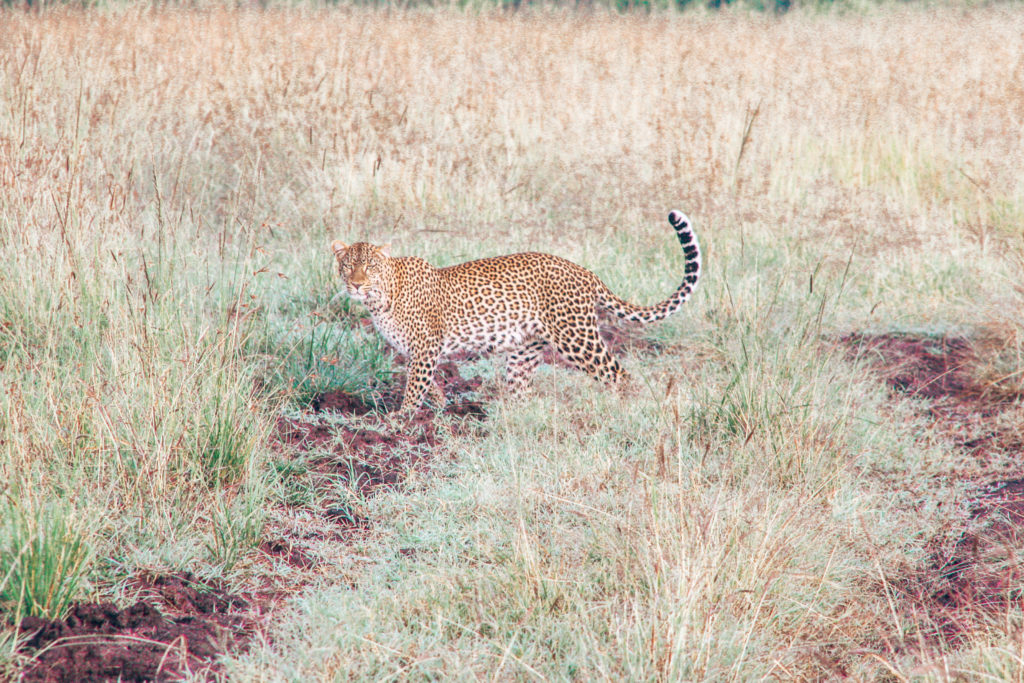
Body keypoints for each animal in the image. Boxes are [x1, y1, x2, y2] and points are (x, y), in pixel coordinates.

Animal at [331, 209, 700, 411]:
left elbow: (414, 387)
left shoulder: (425, 347)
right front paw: (436, 408)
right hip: (525, 351)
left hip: (578, 339)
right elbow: (428, 384)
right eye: (348, 266)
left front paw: (402, 421)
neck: (382, 298)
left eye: (370, 267)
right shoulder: (416, 351)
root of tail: (585, 271)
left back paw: (624, 410)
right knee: (522, 392)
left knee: (619, 376)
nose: (357, 285)